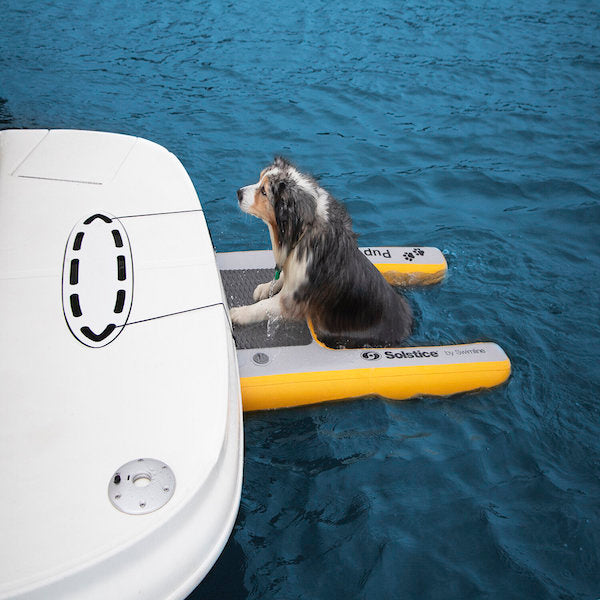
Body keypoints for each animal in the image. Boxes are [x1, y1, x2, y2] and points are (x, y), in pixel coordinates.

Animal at [230, 157, 412, 350]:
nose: (238, 193)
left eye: (264, 192)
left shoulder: (293, 300)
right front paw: (265, 287)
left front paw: (240, 313)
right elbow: (281, 277)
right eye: (259, 179)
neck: (300, 233)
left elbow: (263, 306)